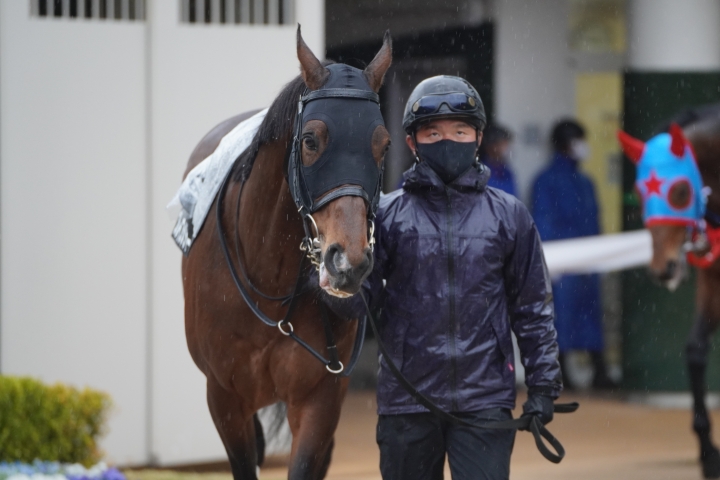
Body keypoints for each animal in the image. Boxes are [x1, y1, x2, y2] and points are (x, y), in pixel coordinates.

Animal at [619, 105, 720, 478]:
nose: (665, 268)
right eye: (639, 191)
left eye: (680, 190)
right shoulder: (713, 278)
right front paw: (708, 451)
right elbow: (695, 350)